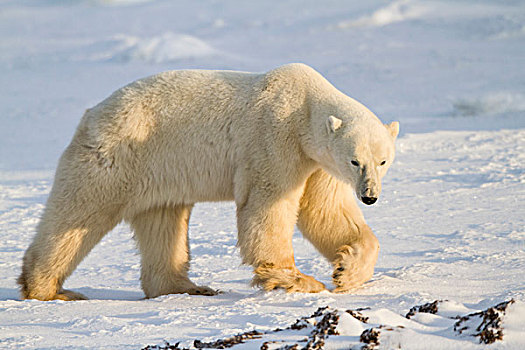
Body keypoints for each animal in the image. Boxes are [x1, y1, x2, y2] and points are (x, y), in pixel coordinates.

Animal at [19, 63, 398, 300]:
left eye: (383, 160)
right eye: (355, 160)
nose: (369, 196)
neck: (303, 105)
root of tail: (92, 114)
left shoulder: (317, 163)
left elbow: (325, 212)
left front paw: (347, 271)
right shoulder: (274, 136)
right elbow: (267, 204)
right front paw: (298, 279)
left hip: (160, 172)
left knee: (163, 222)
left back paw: (186, 287)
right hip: (118, 156)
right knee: (77, 216)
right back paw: (50, 289)